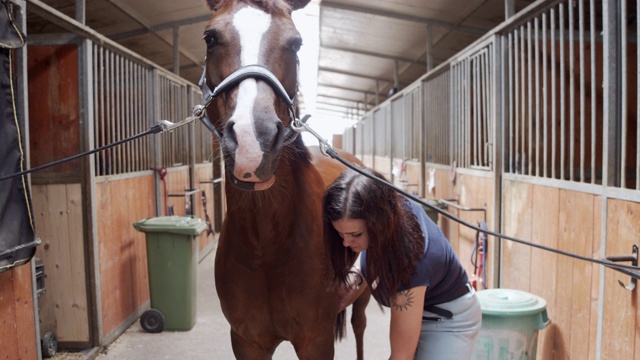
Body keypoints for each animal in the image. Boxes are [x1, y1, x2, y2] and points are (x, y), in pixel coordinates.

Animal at [200, 0, 370, 360]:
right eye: (211, 38)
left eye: (296, 43)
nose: (253, 143)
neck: (267, 247)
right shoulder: (247, 341)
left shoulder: (315, 340)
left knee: (360, 326)